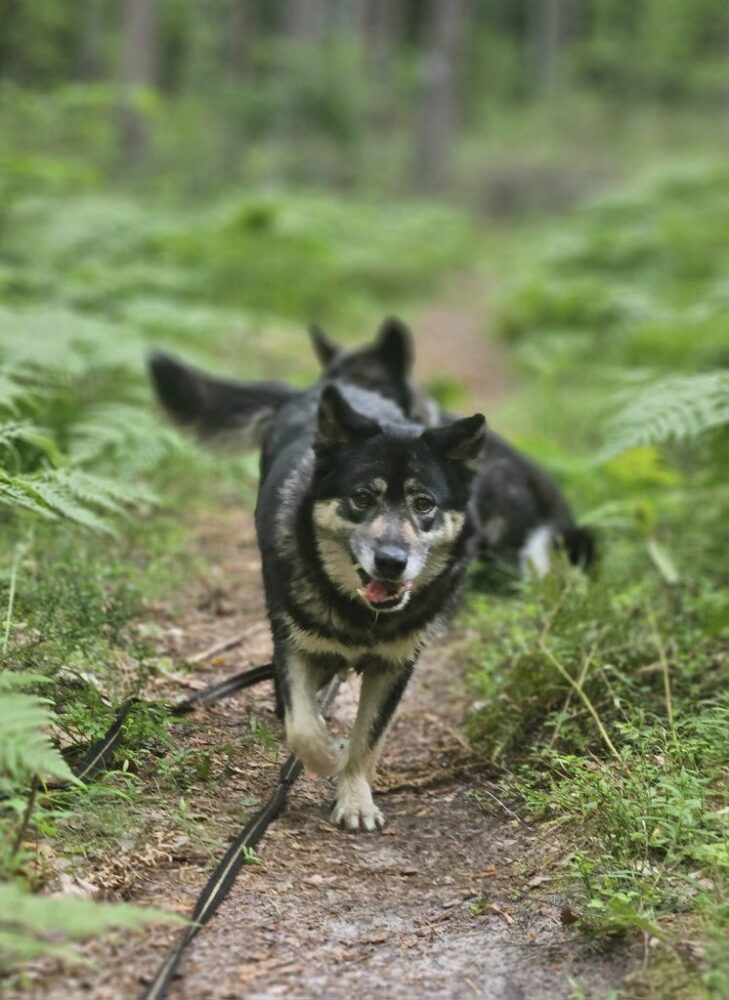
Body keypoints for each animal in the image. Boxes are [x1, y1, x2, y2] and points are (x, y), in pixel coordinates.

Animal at [150, 355, 485, 831]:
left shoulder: (396, 665)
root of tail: (310, 392)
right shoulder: (292, 644)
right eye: (362, 497)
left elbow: (369, 738)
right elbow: (303, 728)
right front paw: (328, 757)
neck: (362, 616)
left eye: (424, 503)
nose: (391, 561)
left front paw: (355, 798)